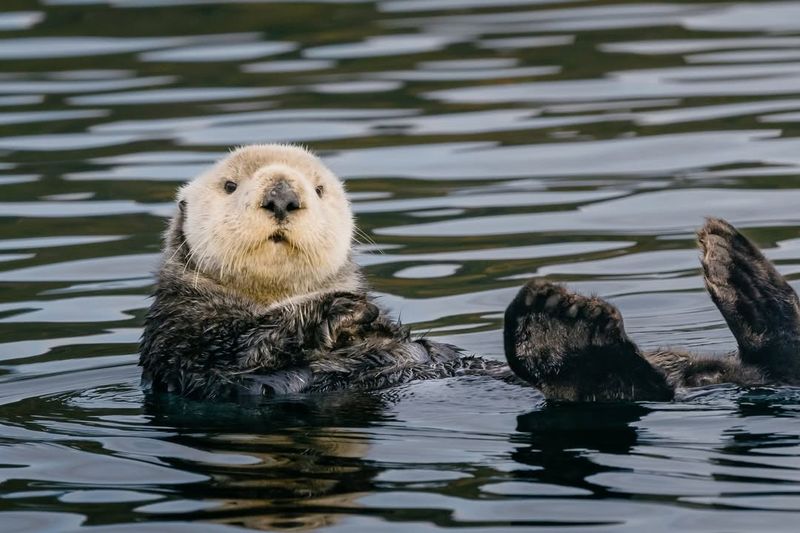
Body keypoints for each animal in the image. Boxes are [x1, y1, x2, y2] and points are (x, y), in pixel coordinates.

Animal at [139, 143, 800, 402]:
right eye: (231, 185)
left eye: (319, 189)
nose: (282, 194)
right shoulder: (180, 342)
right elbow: (231, 350)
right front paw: (338, 313)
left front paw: (359, 314)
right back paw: (564, 329)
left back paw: (732, 262)